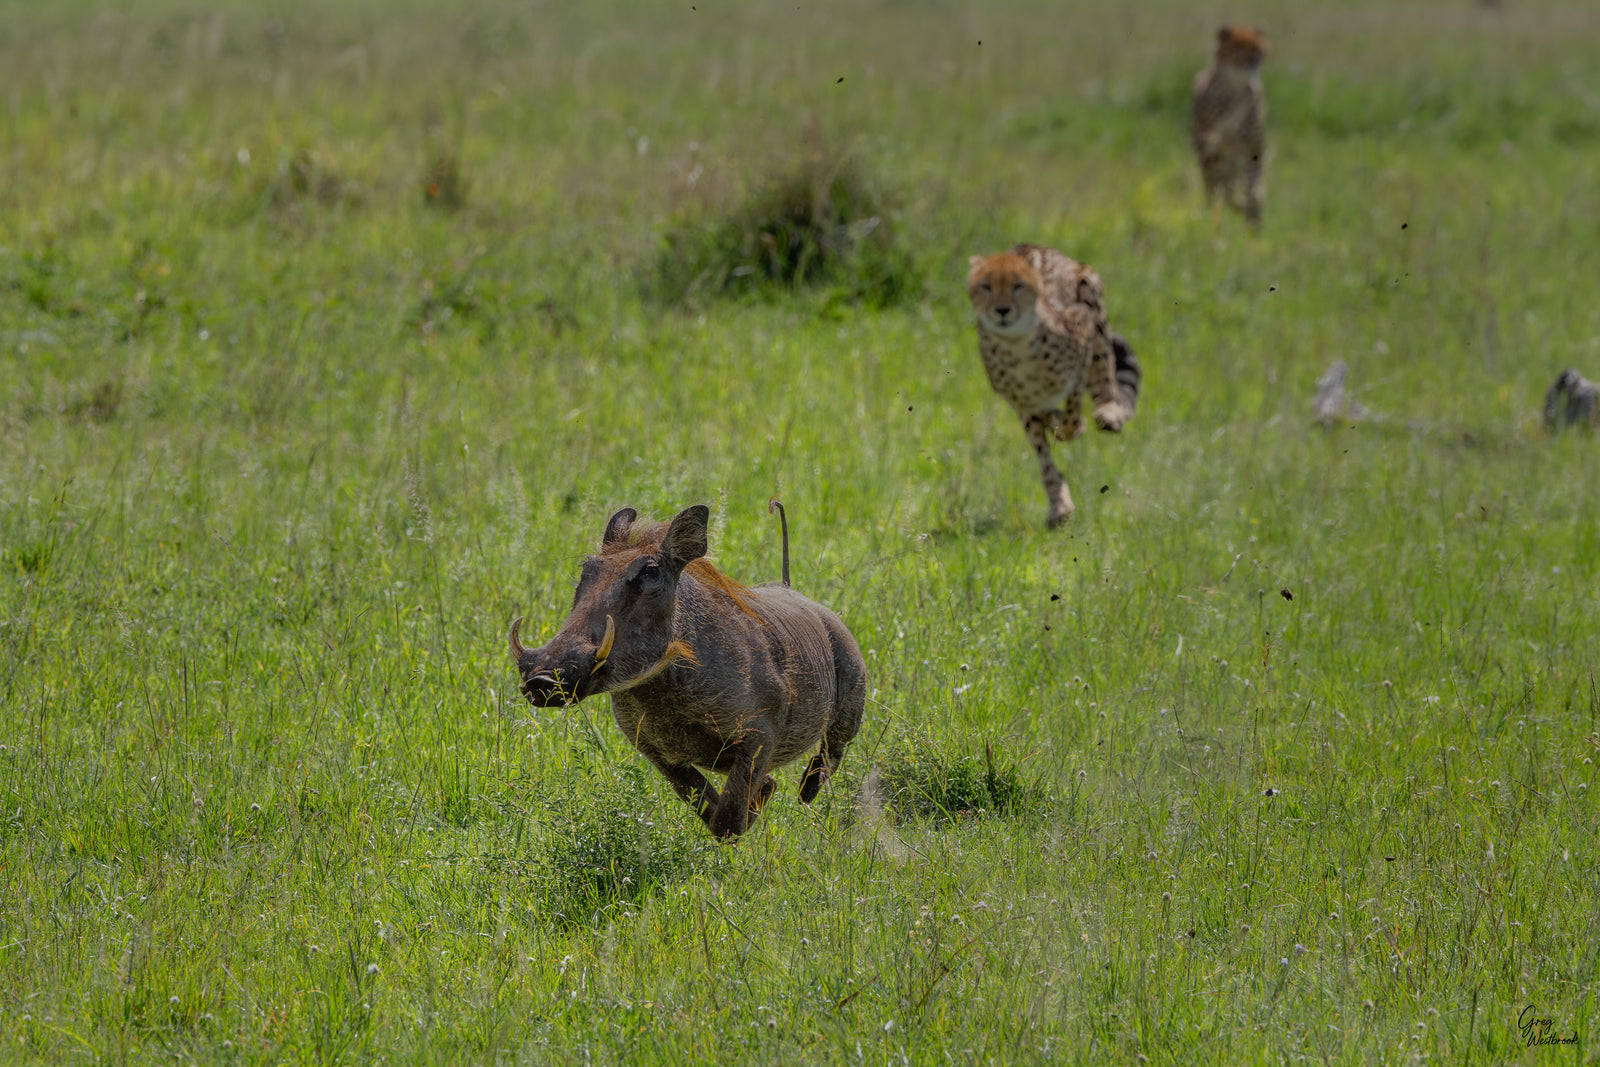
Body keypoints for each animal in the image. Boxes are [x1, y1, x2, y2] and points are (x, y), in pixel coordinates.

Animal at [967, 243, 1141, 528]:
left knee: (1105, 372)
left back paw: (1109, 412)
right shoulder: (1021, 403)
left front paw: (1073, 425)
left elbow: (1071, 417)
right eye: (986, 286)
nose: (1002, 310)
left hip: (1089, 293)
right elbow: (1044, 453)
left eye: (1018, 285)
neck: (1017, 344)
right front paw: (1059, 504)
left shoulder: (1082, 330)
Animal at [1192, 25, 1269, 226]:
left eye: (1258, 48)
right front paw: (1238, 205)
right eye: (1239, 46)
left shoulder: (1253, 147)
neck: (1236, 88)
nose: (1253, 60)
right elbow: (1225, 188)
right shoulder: (1213, 148)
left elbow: (1254, 181)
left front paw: (1253, 203)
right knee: (1215, 186)